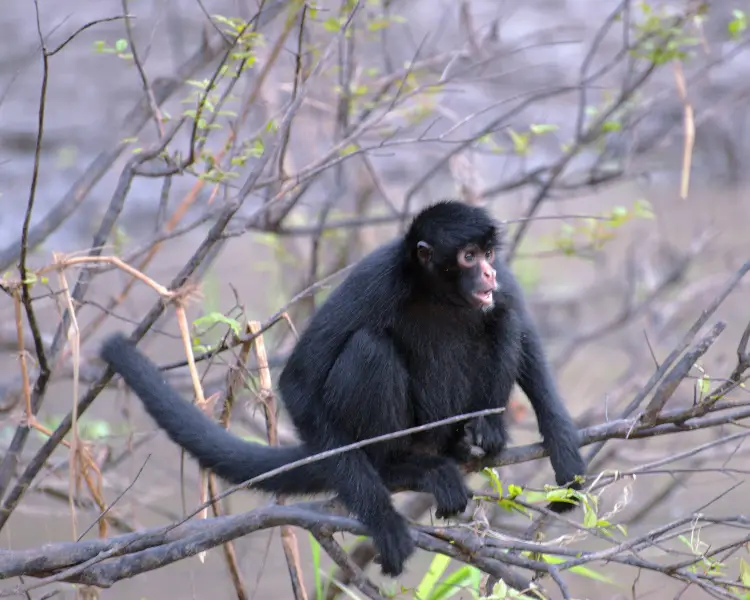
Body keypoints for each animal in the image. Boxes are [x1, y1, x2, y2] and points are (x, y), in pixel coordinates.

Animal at [100, 200, 588, 576]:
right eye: (468, 256)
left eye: (487, 253)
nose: (486, 274)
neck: (438, 294)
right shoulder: (377, 276)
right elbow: (299, 381)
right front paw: (384, 522)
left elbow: (524, 332)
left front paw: (565, 455)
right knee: (369, 347)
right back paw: (403, 467)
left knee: (502, 316)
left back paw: (483, 432)